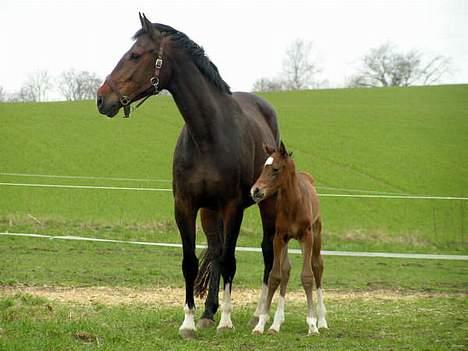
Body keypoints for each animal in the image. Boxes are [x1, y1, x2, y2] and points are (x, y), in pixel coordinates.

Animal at [95, 13, 278, 338]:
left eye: (135, 55)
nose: (101, 99)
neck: (207, 135)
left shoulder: (232, 207)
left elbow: (230, 261)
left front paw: (227, 321)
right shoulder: (185, 205)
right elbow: (191, 263)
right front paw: (190, 322)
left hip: (264, 205)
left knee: (266, 251)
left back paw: (258, 315)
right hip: (209, 211)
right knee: (215, 251)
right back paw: (209, 312)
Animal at [250, 142, 328, 336]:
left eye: (275, 169)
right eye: (263, 168)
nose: (255, 190)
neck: (293, 204)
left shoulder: (307, 237)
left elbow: (307, 276)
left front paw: (312, 324)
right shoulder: (279, 238)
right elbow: (275, 276)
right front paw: (261, 323)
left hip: (316, 234)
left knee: (317, 266)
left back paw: (322, 320)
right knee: (286, 270)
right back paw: (277, 323)